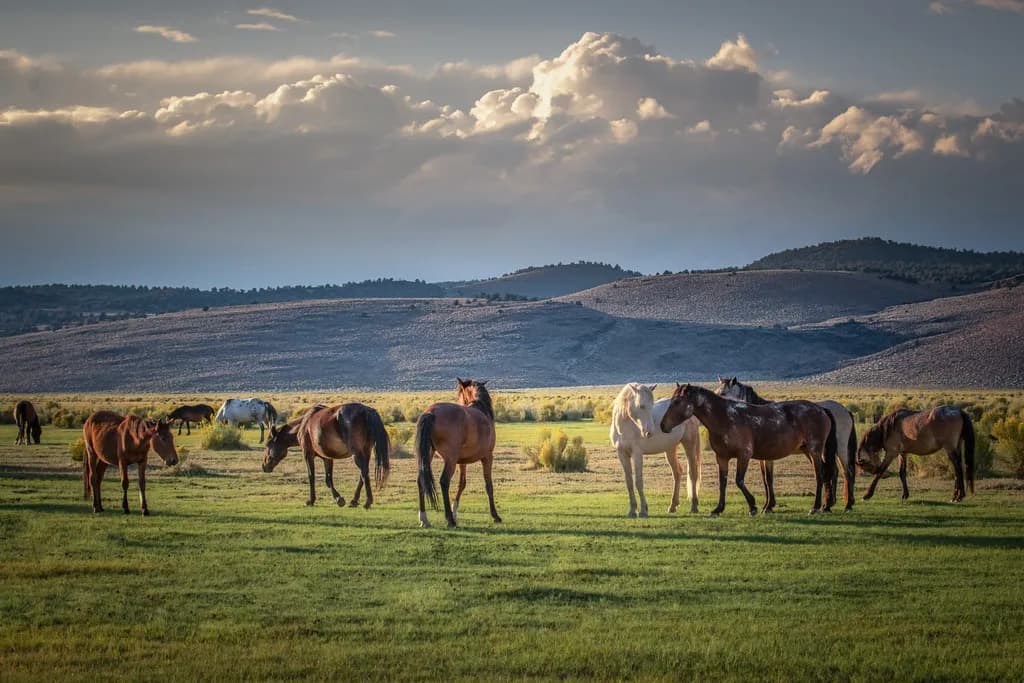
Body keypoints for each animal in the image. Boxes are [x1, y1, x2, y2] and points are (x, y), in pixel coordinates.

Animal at [416, 378, 500, 528]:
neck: (481, 410)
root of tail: (431, 412)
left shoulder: (462, 462)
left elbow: (462, 484)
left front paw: (455, 511)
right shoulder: (487, 457)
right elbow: (488, 485)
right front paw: (495, 515)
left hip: (429, 455)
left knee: (421, 481)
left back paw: (424, 519)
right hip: (450, 460)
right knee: (444, 481)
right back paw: (449, 520)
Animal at [610, 383, 702, 517]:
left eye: (651, 405)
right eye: (641, 406)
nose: (649, 432)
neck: (625, 427)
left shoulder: (637, 454)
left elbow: (638, 482)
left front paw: (643, 510)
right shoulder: (622, 454)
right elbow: (629, 482)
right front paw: (632, 510)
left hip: (689, 444)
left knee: (693, 473)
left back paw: (694, 506)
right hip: (670, 449)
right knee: (677, 473)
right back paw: (672, 506)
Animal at [660, 384, 838, 516]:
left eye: (677, 402)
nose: (663, 425)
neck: (725, 417)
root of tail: (821, 409)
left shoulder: (744, 455)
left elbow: (739, 480)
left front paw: (753, 506)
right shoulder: (722, 457)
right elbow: (723, 482)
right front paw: (718, 509)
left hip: (814, 450)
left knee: (820, 475)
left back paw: (815, 507)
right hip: (808, 451)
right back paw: (825, 505)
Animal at [716, 377, 858, 512]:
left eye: (723, 393)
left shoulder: (768, 457)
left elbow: (768, 479)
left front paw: (768, 506)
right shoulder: (762, 457)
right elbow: (765, 479)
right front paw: (768, 505)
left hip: (838, 449)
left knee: (846, 472)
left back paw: (846, 505)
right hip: (821, 451)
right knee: (832, 471)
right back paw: (828, 505)